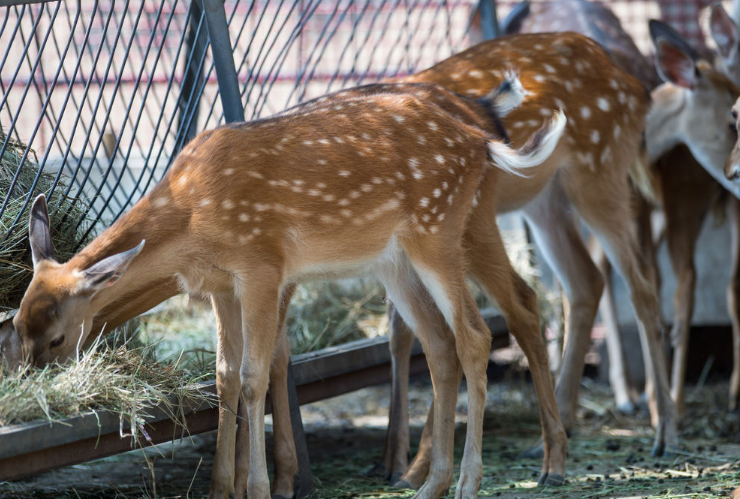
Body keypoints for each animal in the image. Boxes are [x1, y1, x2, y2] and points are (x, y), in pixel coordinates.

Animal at [11, 83, 568, 499]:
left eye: (58, 338)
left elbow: (254, 376)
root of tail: (482, 140)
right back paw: (429, 485)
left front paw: (260, 487)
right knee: (438, 343)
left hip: (441, 231)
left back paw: (482, 481)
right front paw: (219, 488)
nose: (36, 388)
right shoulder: (221, 285)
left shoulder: (262, 265)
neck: (193, 217)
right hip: (396, 260)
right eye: (15, 324)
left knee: (477, 334)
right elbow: (224, 377)